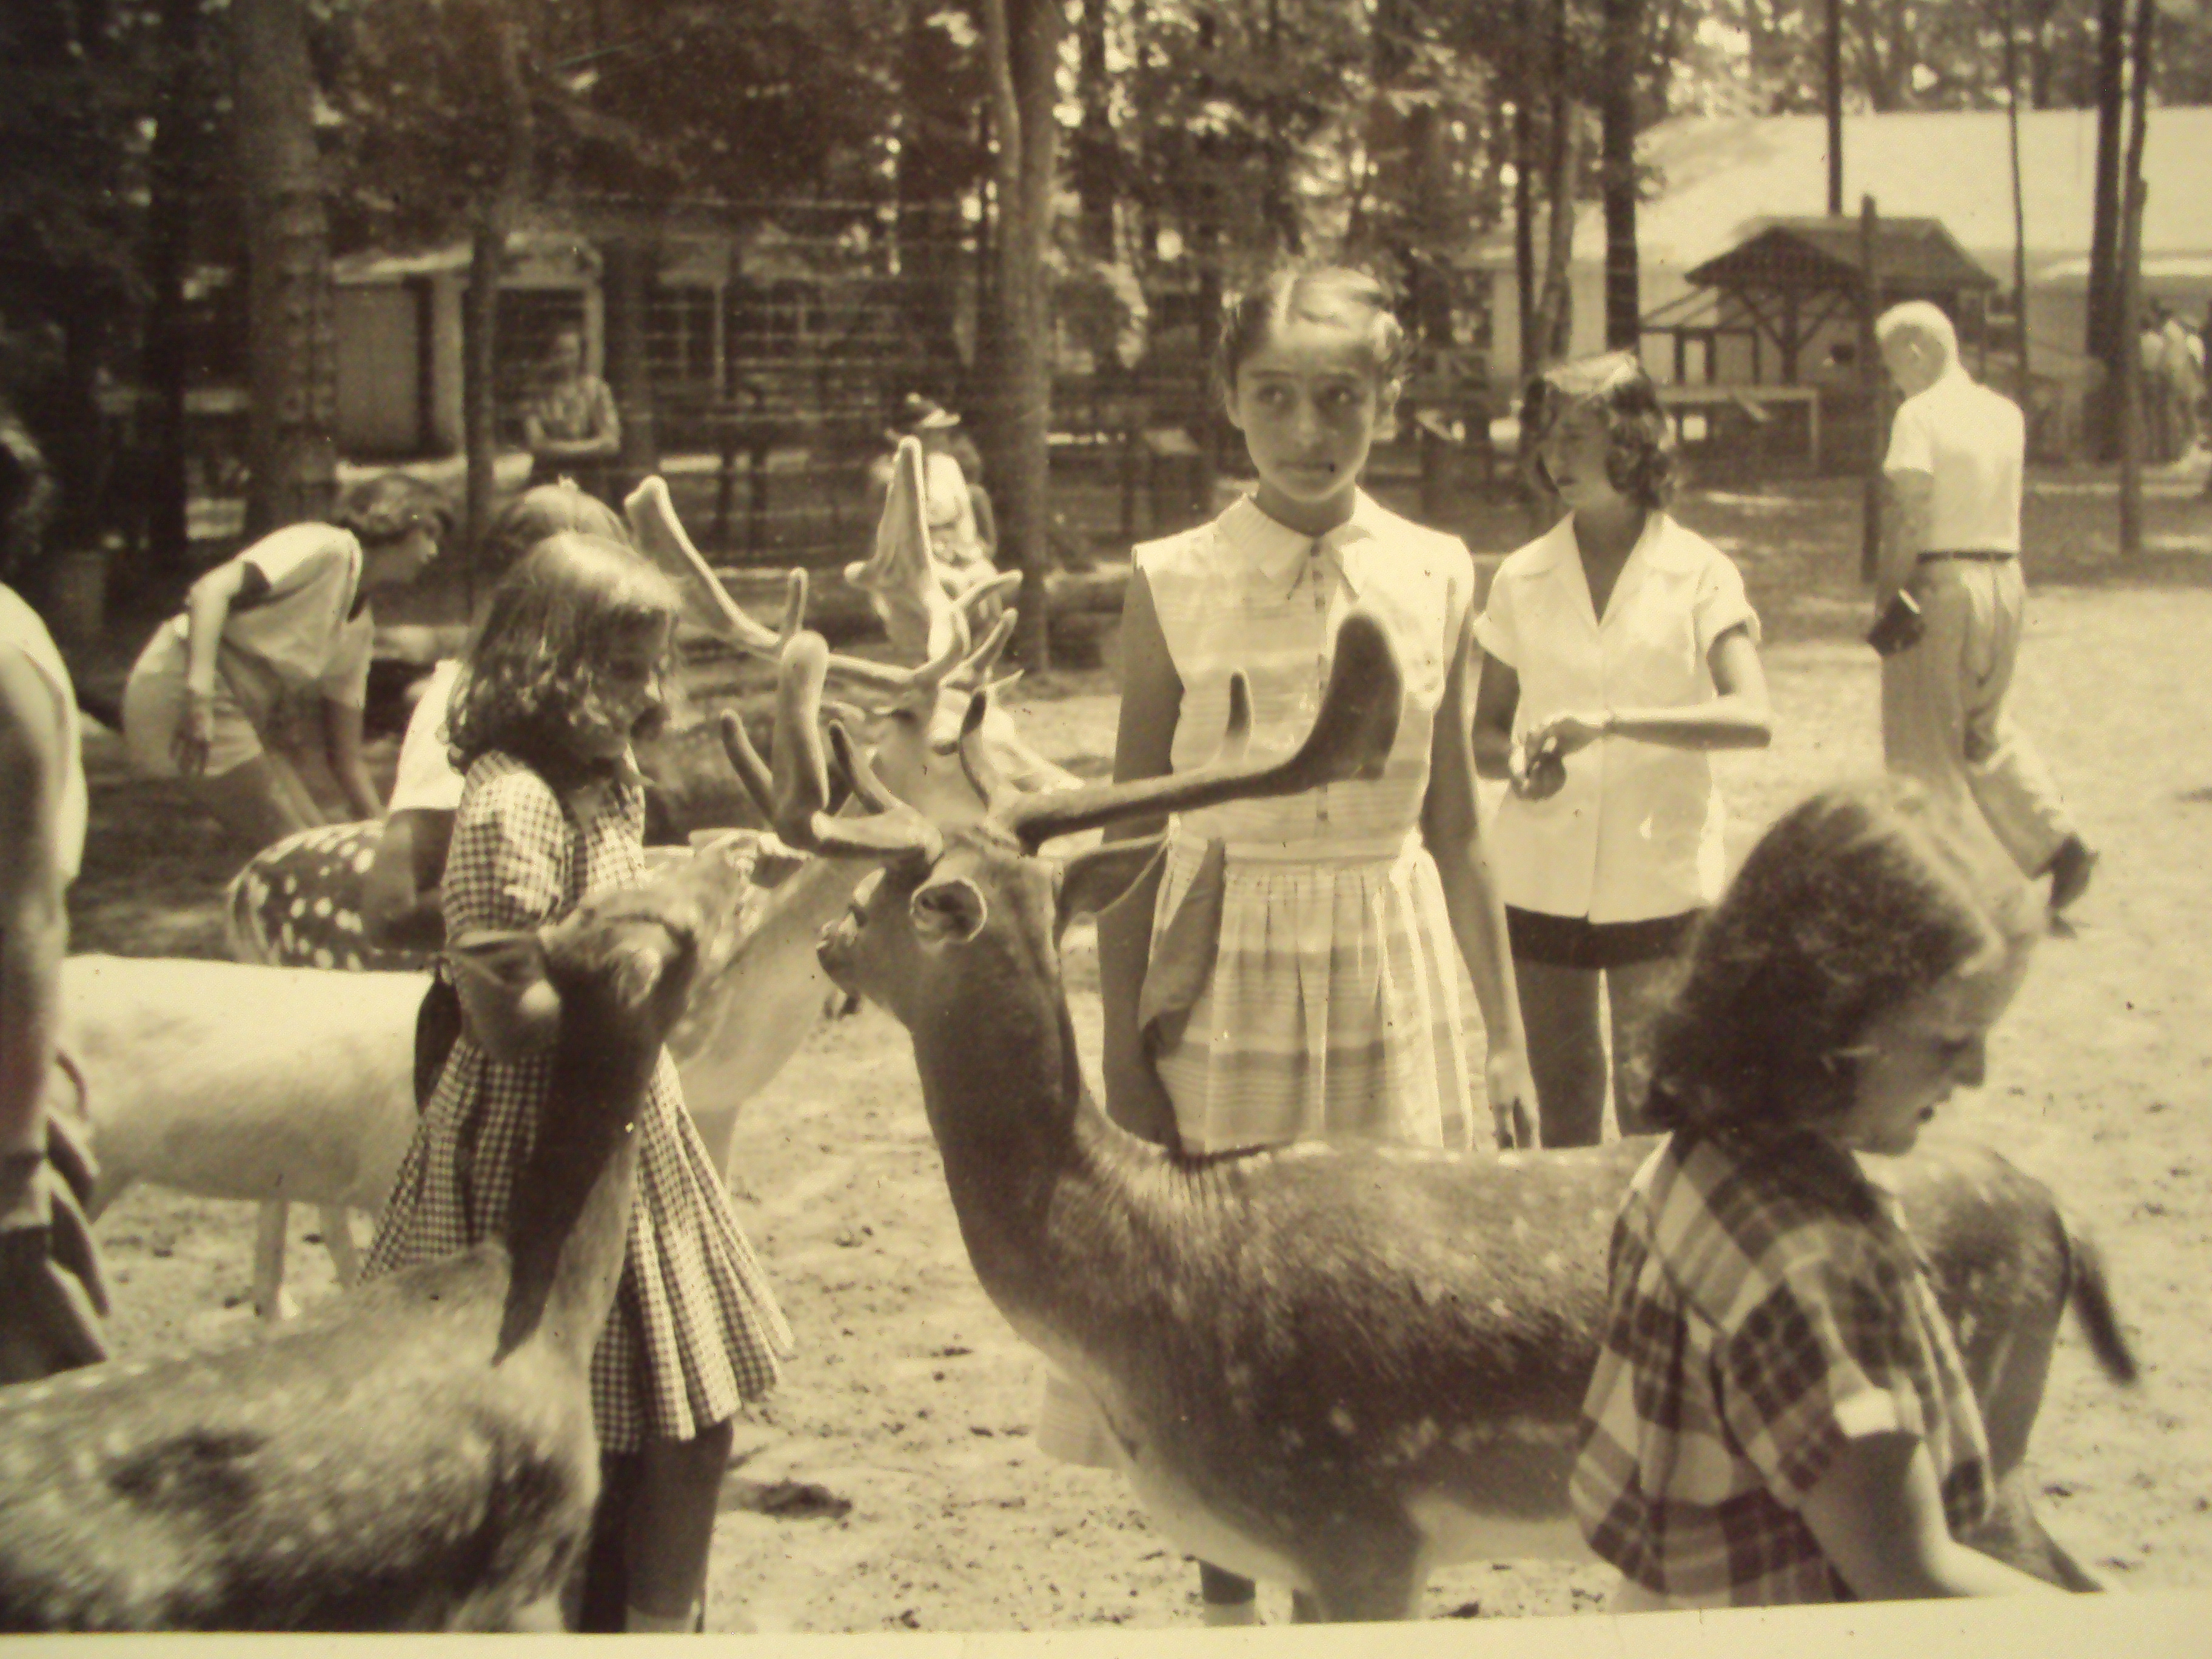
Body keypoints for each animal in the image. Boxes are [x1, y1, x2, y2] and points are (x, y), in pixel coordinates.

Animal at [727, 615, 2141, 1621]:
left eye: (892, 898)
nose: (833, 949)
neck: (1138, 1291)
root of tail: (2056, 1212)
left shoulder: (1355, 1521)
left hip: (1971, 1438)